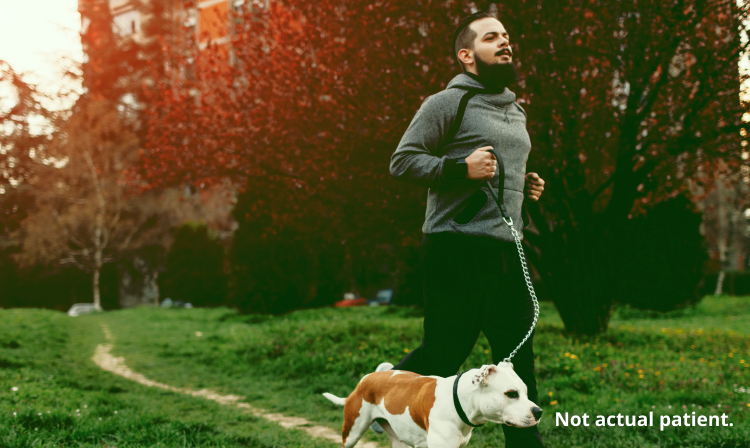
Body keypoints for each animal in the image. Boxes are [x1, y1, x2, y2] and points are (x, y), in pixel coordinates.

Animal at [320, 362, 544, 446]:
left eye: (525, 392)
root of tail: (365, 379)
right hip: (352, 433)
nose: (538, 411)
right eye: (511, 394)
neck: (458, 403)